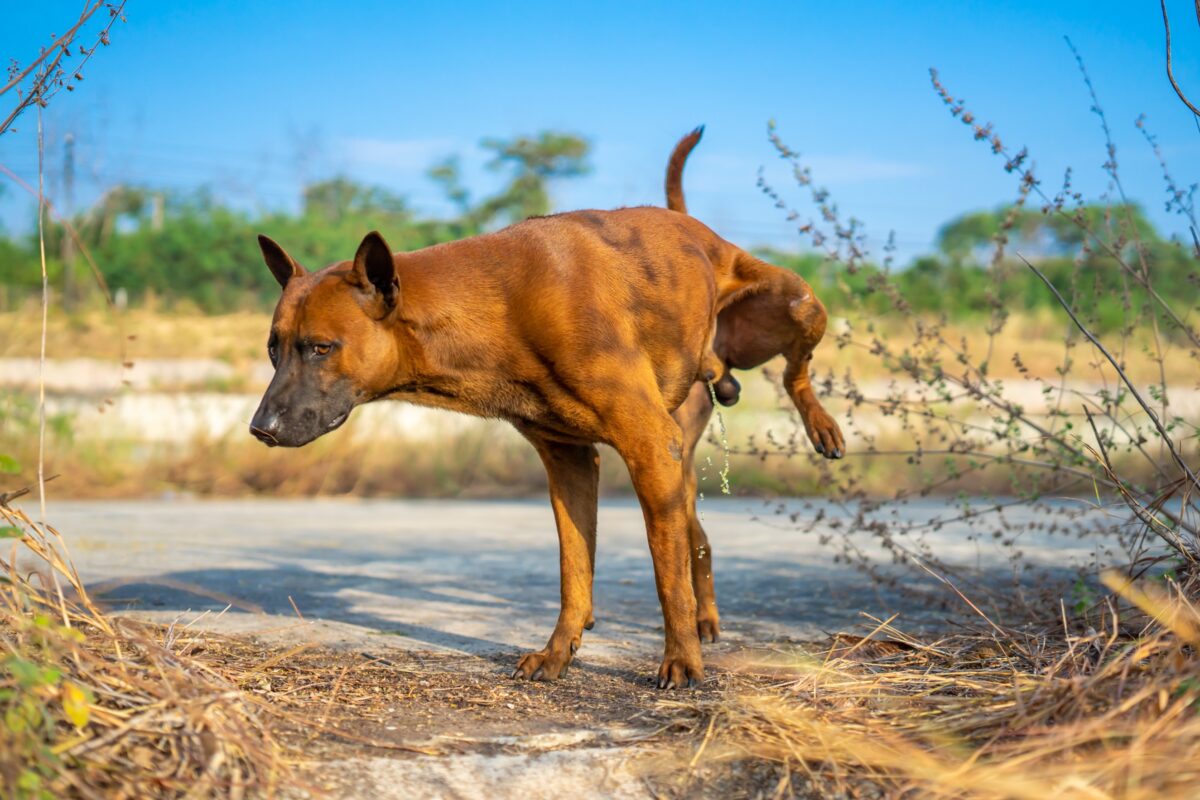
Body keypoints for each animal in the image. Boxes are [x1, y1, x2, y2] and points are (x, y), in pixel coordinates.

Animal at [248, 126, 840, 690]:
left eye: (321, 348)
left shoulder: (649, 448)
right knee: (697, 533)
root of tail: (698, 231)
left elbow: (664, 576)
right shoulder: (570, 461)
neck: (502, 305)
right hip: (684, 460)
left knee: (796, 371)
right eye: (274, 349)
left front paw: (681, 663)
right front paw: (559, 652)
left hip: (798, 304)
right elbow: (574, 570)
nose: (260, 429)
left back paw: (821, 428)